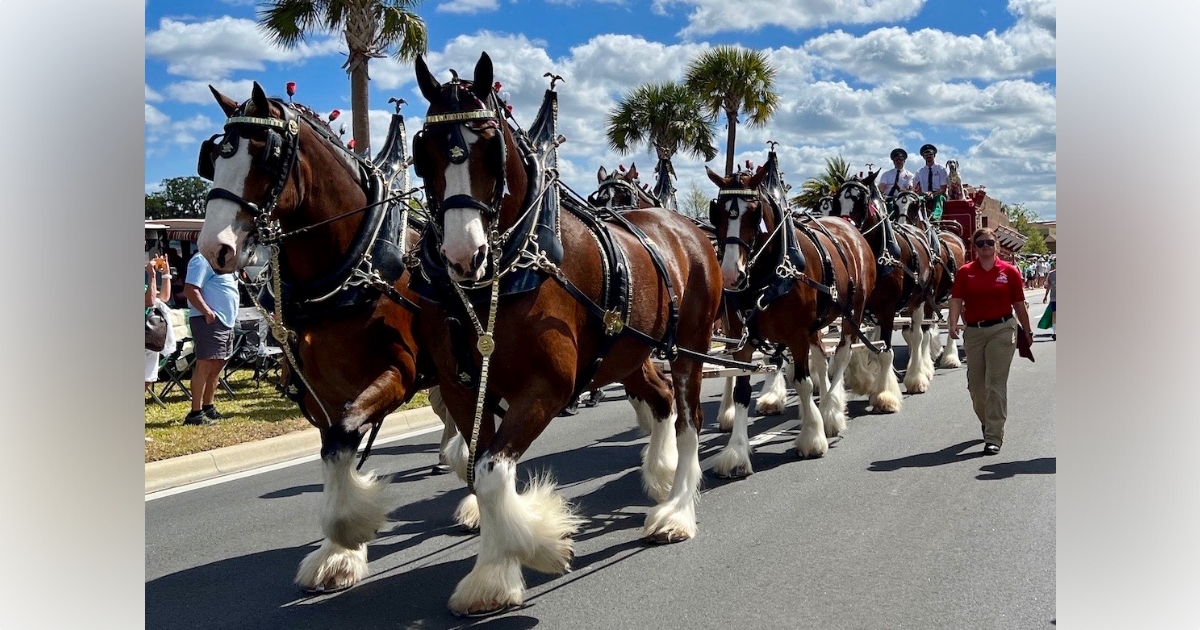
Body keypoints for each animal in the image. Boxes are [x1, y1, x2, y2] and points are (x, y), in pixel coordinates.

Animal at [192, 83, 453, 595]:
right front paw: (337, 553)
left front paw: (349, 533)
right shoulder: (318, 391)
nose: (216, 248)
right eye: (212, 159)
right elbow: (334, 450)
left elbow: (345, 434)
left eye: (266, 156)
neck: (352, 267)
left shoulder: (400, 371)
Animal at [410, 54, 720, 614]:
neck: (510, 271)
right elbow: (478, 469)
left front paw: (534, 549)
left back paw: (677, 512)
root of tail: (686, 227)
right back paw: (659, 474)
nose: (464, 256)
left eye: (491, 147)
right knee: (661, 399)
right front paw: (495, 571)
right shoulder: (463, 387)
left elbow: (491, 473)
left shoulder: (548, 387)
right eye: (425, 154)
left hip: (691, 346)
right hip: (630, 353)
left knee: (690, 418)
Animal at [705, 157, 878, 470]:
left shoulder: (796, 335)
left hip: (853, 312)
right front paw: (736, 451)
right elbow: (741, 391)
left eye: (753, 213)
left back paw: (831, 411)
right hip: (818, 322)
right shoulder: (742, 338)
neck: (772, 271)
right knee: (821, 357)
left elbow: (802, 382)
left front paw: (812, 437)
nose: (730, 275)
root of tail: (848, 228)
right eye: (718, 213)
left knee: (842, 354)